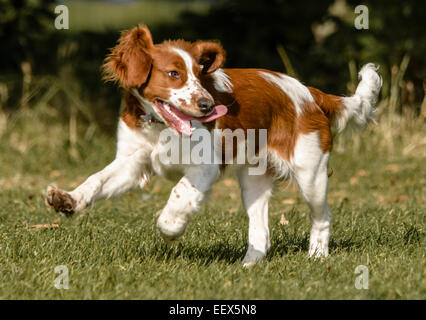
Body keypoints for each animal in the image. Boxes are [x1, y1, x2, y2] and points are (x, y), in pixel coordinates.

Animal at [46, 25, 382, 266]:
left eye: (199, 74)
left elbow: (179, 191)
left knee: (322, 215)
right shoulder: (132, 161)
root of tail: (311, 93)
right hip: (254, 181)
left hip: (310, 172)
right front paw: (68, 200)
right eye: (173, 74)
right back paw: (248, 265)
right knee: (261, 229)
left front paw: (171, 226)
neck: (160, 127)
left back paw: (316, 256)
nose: (208, 106)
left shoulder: (205, 165)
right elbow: (96, 180)